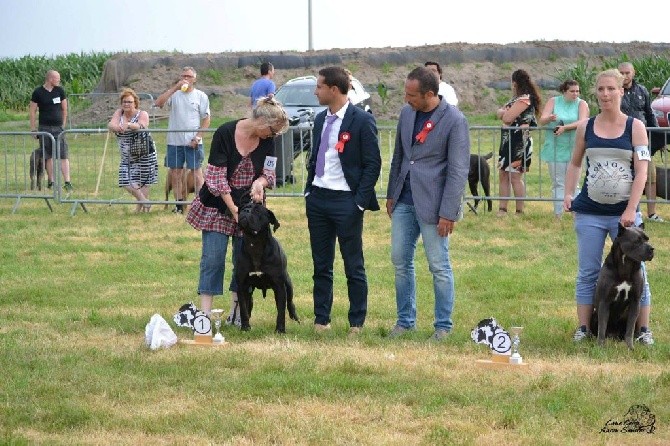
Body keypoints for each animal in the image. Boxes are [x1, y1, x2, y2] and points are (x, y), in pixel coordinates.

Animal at [235, 200, 300, 332]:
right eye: (243, 208)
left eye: (257, 211)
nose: (245, 211)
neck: (254, 243)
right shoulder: (242, 286)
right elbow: (243, 309)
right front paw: (245, 327)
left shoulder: (280, 286)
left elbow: (281, 310)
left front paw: (280, 330)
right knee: (249, 305)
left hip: (288, 284)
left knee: (290, 303)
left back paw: (295, 318)